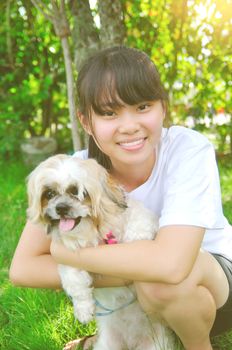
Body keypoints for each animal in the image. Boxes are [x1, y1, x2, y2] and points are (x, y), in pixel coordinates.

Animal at [26, 155, 174, 350]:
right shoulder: (66, 257)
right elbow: (73, 280)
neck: (93, 232)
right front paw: (83, 309)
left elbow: (139, 222)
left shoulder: (140, 218)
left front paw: (135, 236)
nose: (61, 207)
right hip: (107, 345)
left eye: (76, 192)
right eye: (49, 194)